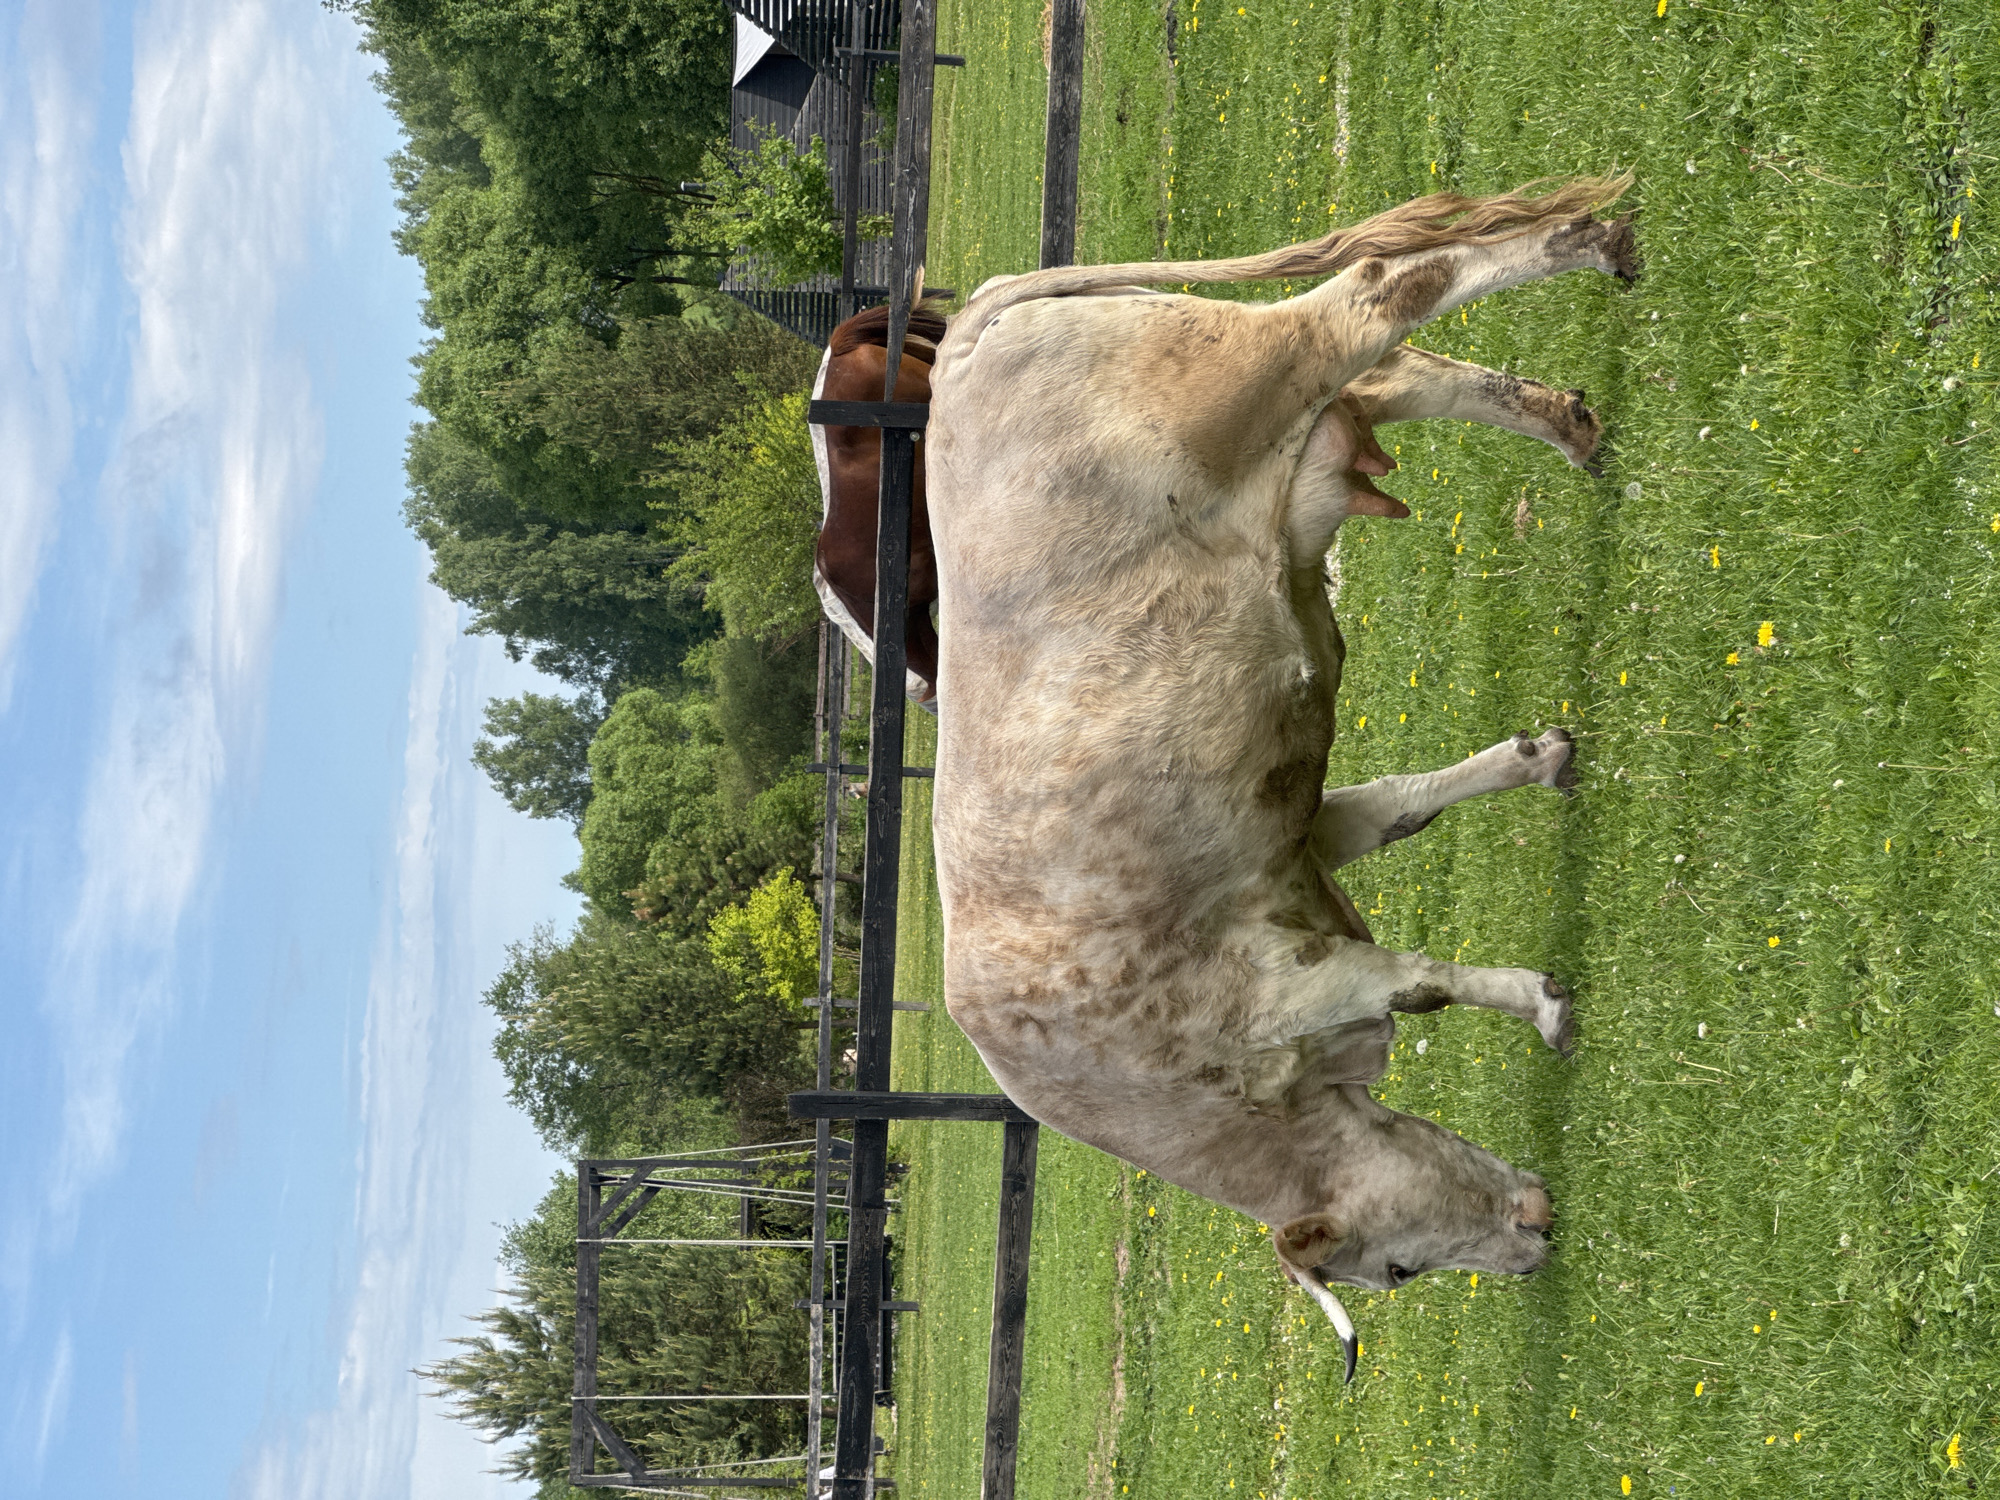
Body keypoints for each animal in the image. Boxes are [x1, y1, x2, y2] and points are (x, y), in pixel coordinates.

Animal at [911, 175, 1639, 1376]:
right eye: (1402, 1271)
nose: (1536, 1235)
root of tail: (965, 337)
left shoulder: (1268, 987)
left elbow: (1416, 979)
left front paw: (1542, 1005)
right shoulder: (1294, 842)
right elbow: (1399, 818)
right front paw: (1538, 762)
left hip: (1240, 378)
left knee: (1379, 293)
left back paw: (1588, 245)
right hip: (1291, 431)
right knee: (1398, 371)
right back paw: (1564, 423)